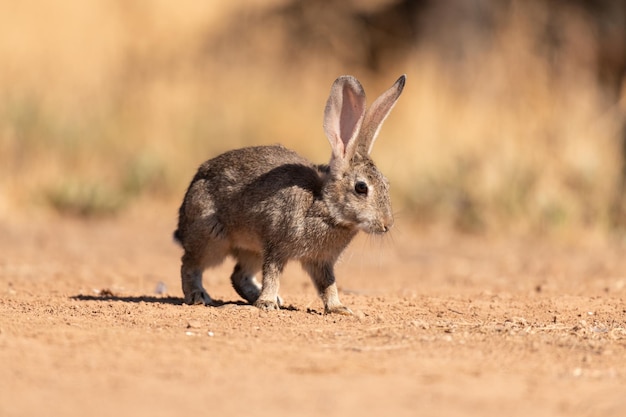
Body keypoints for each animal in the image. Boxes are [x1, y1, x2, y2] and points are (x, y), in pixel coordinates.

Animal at [174, 75, 404, 314]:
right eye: (361, 187)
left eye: (386, 184)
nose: (387, 224)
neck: (323, 204)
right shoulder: (276, 246)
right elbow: (272, 274)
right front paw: (266, 303)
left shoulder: (321, 261)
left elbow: (328, 285)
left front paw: (339, 308)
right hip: (212, 238)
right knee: (189, 264)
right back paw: (199, 296)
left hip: (252, 249)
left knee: (238, 275)